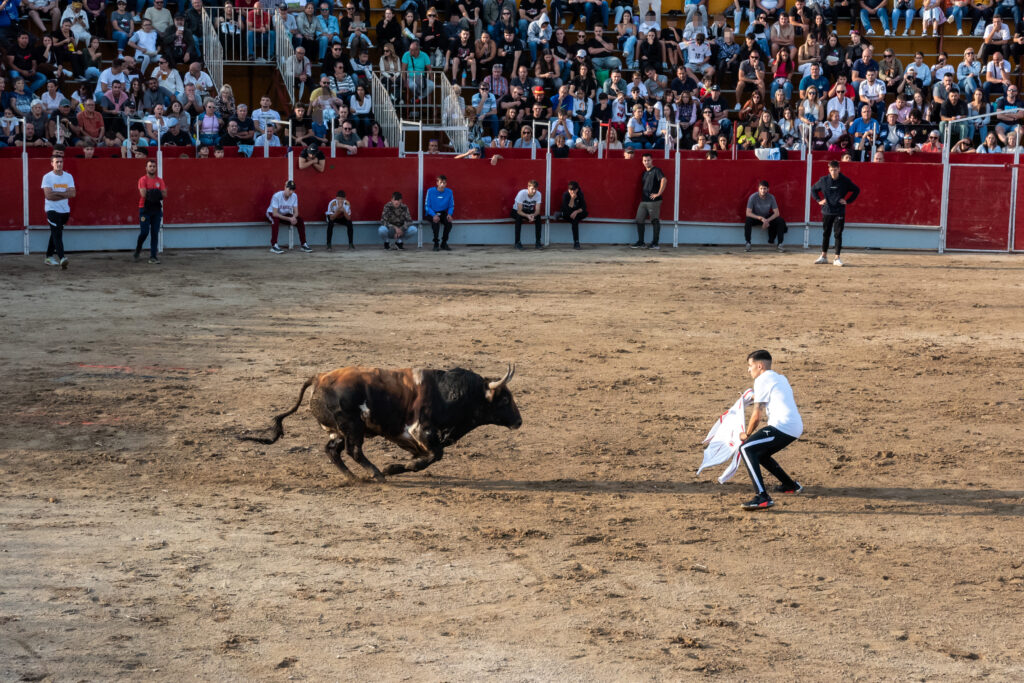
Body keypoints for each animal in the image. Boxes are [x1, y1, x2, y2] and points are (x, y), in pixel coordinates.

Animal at [238, 362, 520, 481]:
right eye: (505, 399)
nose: (519, 421)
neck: (447, 393)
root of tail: (319, 377)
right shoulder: (421, 431)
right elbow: (433, 456)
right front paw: (393, 468)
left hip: (340, 430)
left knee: (332, 450)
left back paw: (354, 477)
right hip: (352, 426)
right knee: (353, 450)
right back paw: (375, 473)